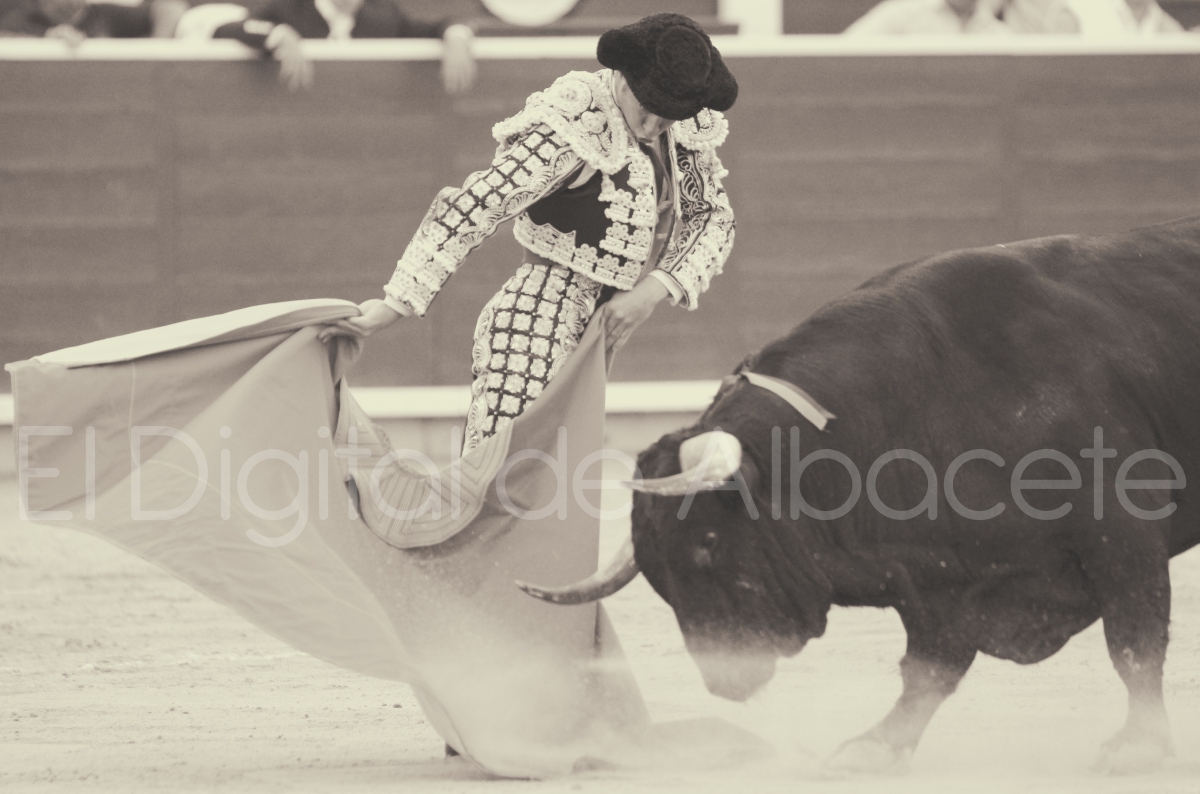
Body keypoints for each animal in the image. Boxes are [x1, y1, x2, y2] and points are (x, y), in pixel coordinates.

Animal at [518, 217, 1200, 774]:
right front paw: (874, 747)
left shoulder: (1123, 536)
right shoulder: (939, 575)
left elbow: (1133, 642)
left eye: (709, 542)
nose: (723, 684)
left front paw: (1138, 747)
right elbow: (929, 670)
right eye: (659, 573)